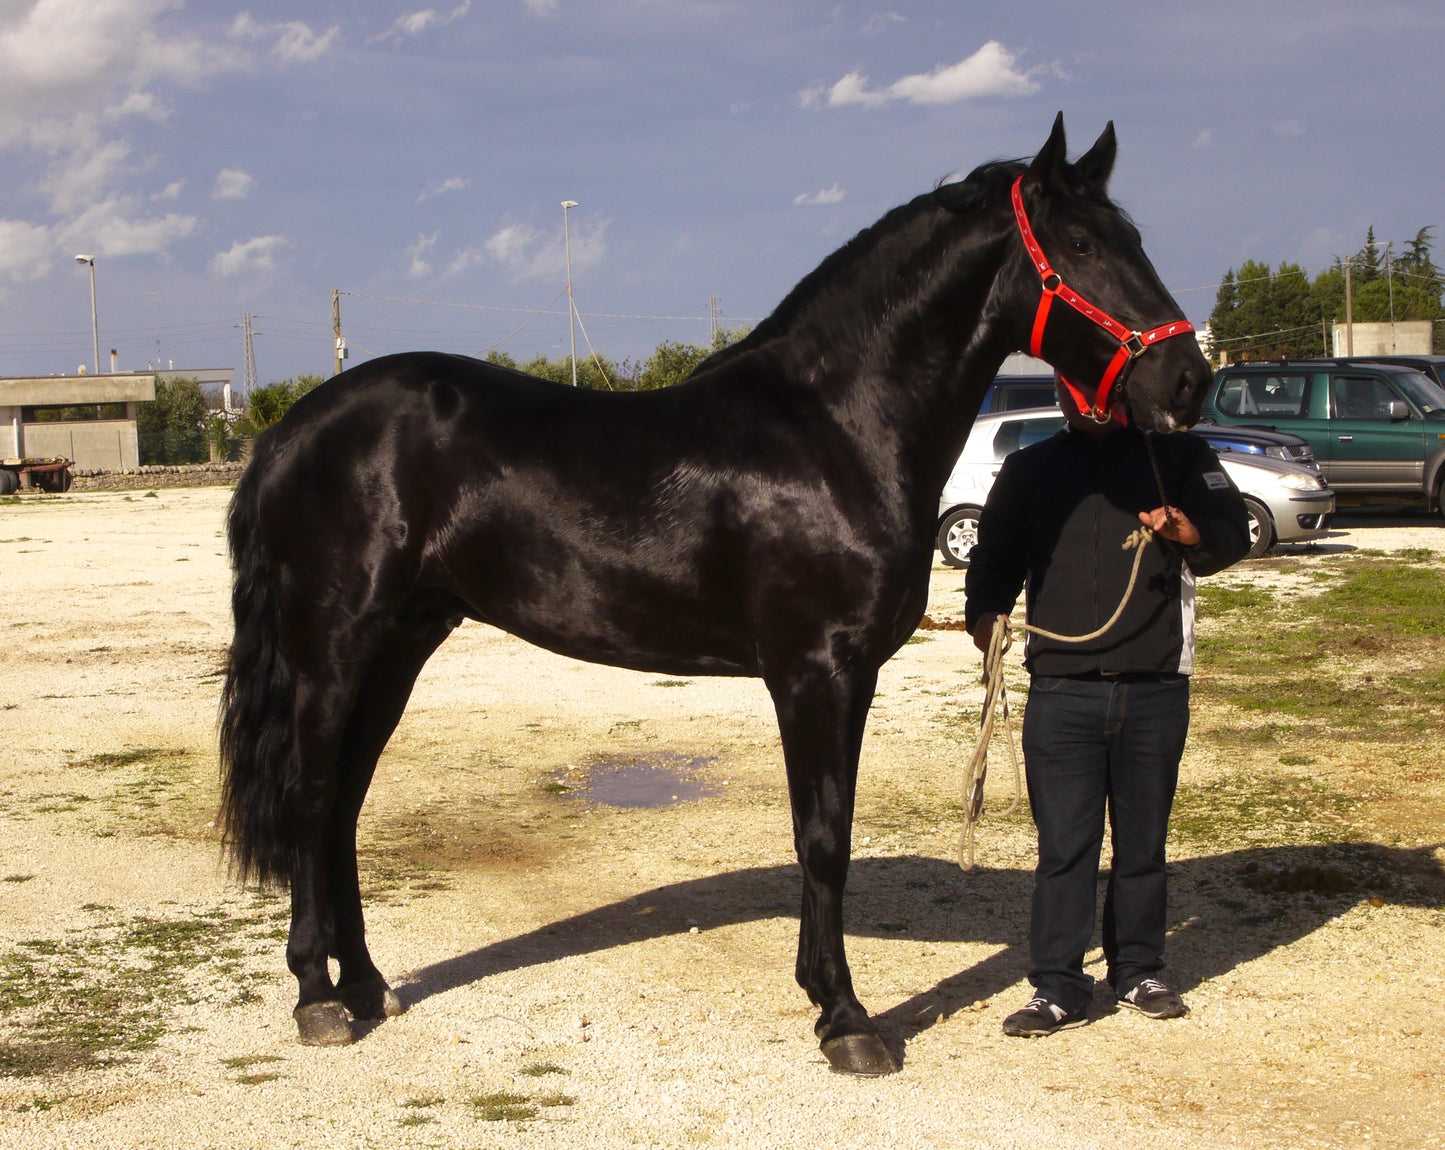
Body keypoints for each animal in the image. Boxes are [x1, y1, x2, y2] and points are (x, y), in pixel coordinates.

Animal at [219, 111, 1213, 1074]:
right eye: (1080, 245)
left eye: (1132, 239)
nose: (1187, 379)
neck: (832, 430)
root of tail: (289, 431)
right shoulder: (814, 673)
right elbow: (822, 838)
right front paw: (848, 1022)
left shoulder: (850, 679)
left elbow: (829, 830)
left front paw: (825, 998)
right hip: (334, 645)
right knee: (312, 796)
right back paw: (317, 1000)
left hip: (402, 642)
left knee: (343, 806)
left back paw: (366, 985)